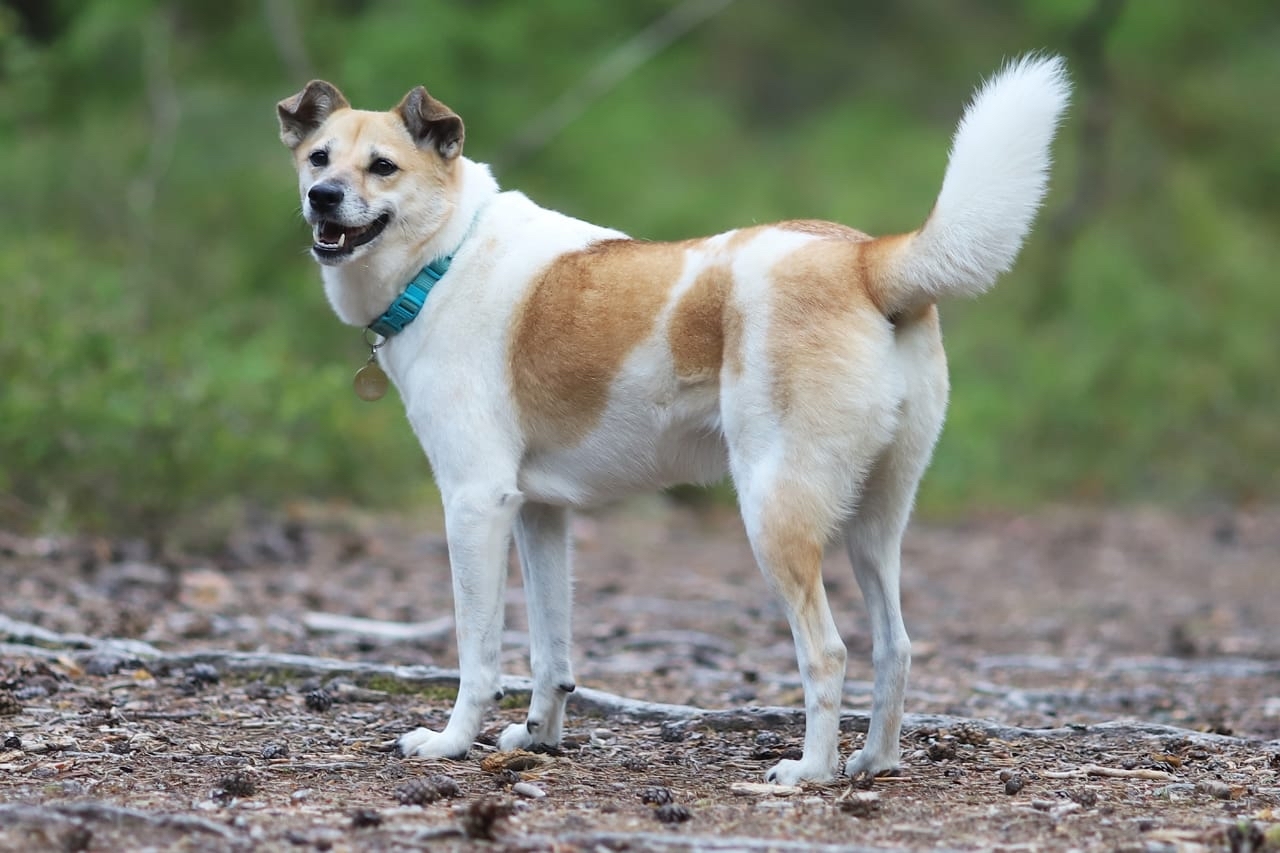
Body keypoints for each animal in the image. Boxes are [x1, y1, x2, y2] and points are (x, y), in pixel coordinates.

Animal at [277, 56, 1070, 778]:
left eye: (382, 167)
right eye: (318, 157)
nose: (322, 197)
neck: (447, 254)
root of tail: (865, 259)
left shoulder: (475, 504)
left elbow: (479, 655)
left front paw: (450, 742)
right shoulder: (538, 514)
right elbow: (550, 652)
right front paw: (539, 737)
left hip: (774, 512)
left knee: (828, 652)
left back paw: (808, 772)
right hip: (874, 525)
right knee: (895, 646)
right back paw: (873, 760)